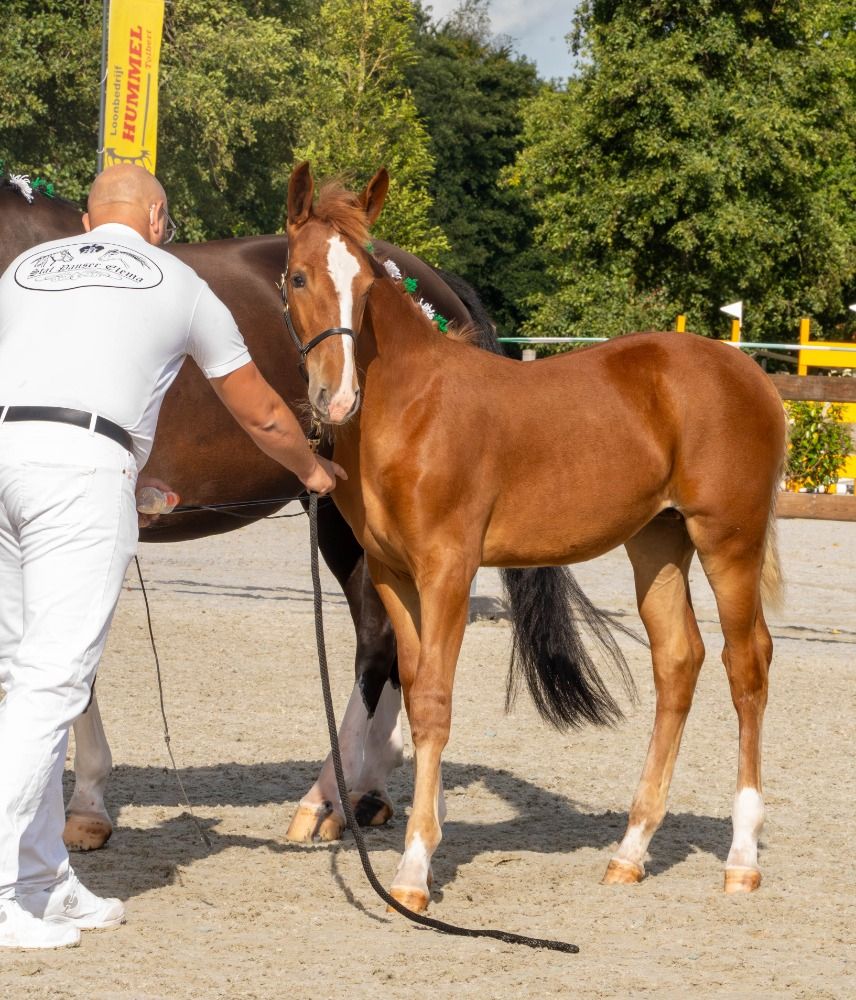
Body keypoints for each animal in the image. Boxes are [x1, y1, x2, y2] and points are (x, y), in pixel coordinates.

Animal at [282, 161, 788, 913]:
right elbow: (412, 685)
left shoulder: (449, 568)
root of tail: (752, 375)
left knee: (746, 665)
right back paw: (630, 851)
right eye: (296, 277)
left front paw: (414, 870)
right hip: (659, 543)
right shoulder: (393, 574)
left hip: (729, 539)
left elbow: (434, 702)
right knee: (679, 661)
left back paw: (743, 857)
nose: (334, 398)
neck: (411, 408)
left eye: (367, 286)